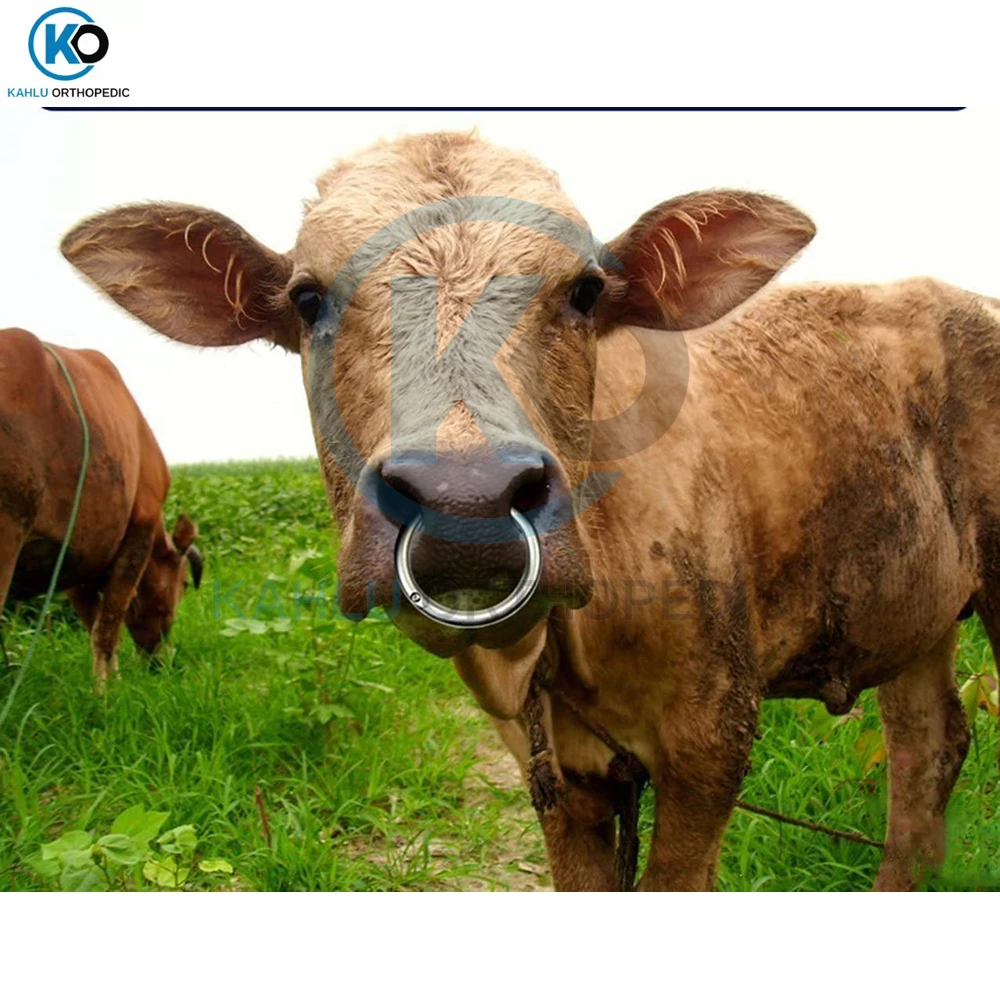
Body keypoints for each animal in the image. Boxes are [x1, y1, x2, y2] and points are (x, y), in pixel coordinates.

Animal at [0, 328, 203, 687]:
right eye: (182, 585)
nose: (160, 663)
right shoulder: (138, 532)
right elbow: (108, 626)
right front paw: (106, 690)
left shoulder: (77, 557)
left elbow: (95, 622)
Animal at [61, 131, 999, 890]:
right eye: (306, 297)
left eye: (585, 291)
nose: (465, 500)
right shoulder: (558, 779)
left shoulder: (712, 741)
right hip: (910, 611)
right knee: (929, 751)